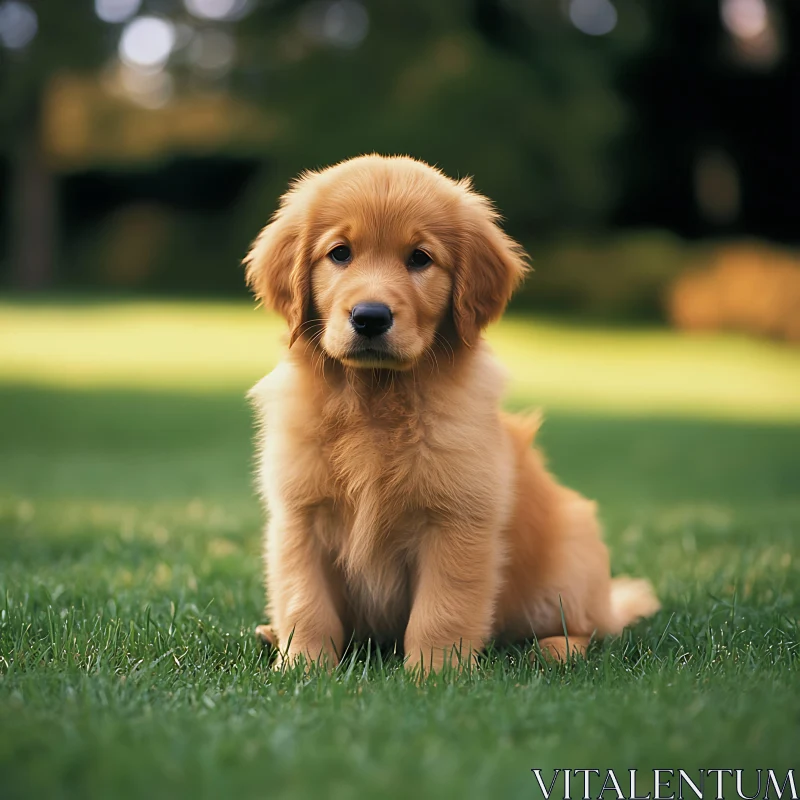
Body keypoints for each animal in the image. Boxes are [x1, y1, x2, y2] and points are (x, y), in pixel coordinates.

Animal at [247, 153, 660, 672]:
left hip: (570, 560)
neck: (376, 402)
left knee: (593, 629)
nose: (370, 317)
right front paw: (303, 666)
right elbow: (305, 602)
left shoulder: (457, 523)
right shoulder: (300, 518)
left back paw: (552, 650)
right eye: (340, 253)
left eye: (420, 258)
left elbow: (442, 609)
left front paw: (435, 673)